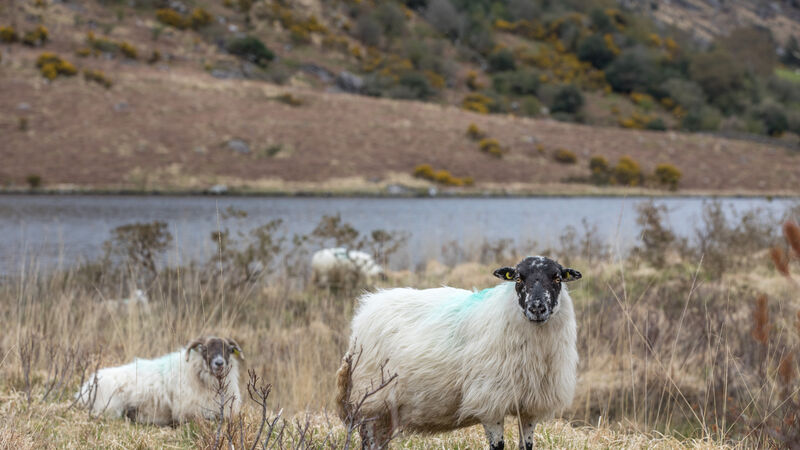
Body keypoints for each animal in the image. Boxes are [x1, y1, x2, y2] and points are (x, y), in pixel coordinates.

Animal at [76, 336, 245, 426]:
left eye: (229, 350)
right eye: (204, 349)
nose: (219, 363)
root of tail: (84, 390)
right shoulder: (188, 413)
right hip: (111, 407)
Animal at [336, 255, 582, 450]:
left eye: (557, 278)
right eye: (519, 279)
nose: (537, 308)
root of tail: (366, 310)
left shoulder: (530, 407)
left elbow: (527, 445)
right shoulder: (490, 401)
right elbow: (498, 445)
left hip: (385, 412)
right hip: (370, 401)